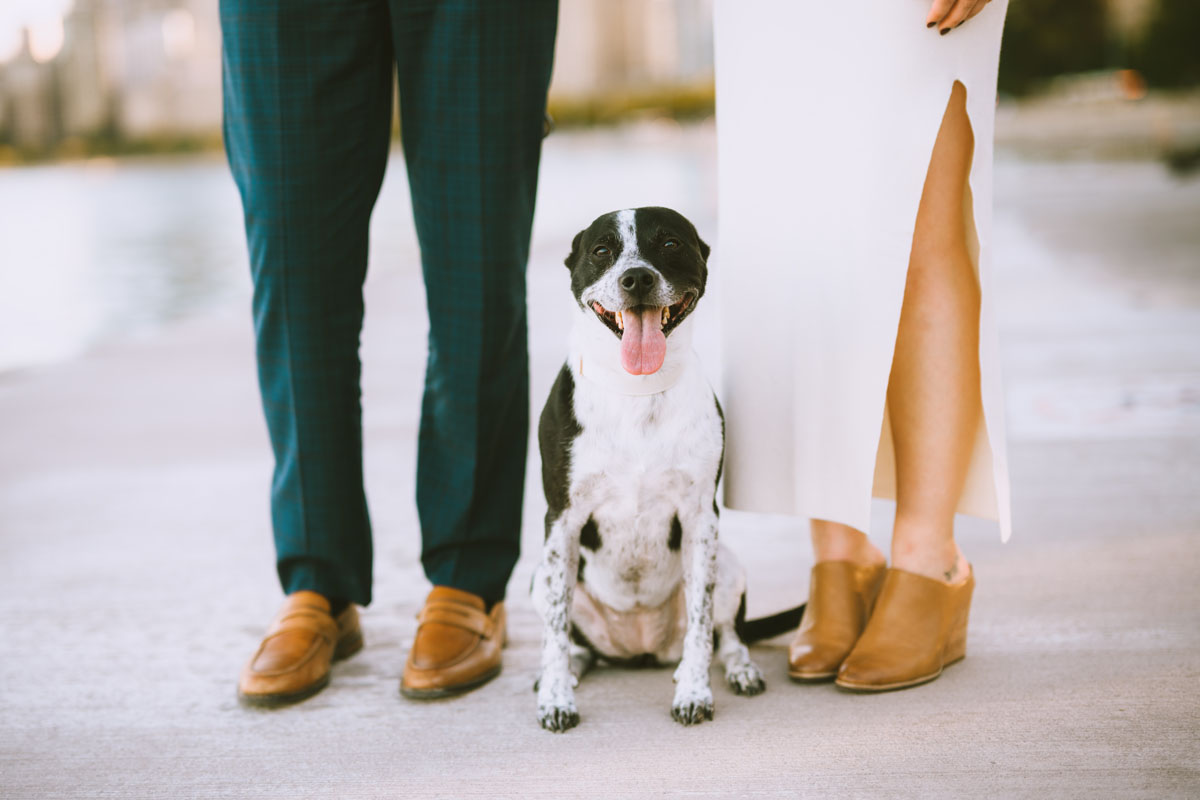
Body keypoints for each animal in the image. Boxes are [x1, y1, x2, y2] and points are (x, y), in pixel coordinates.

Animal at [532, 208, 796, 734]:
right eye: (601, 250)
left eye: (671, 243)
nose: (637, 278)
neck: (637, 390)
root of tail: (641, 648)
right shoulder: (561, 521)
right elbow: (554, 628)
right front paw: (555, 696)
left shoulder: (700, 520)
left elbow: (701, 625)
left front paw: (694, 692)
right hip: (538, 576)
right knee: (572, 636)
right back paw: (572, 669)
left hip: (728, 564)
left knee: (727, 634)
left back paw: (740, 670)